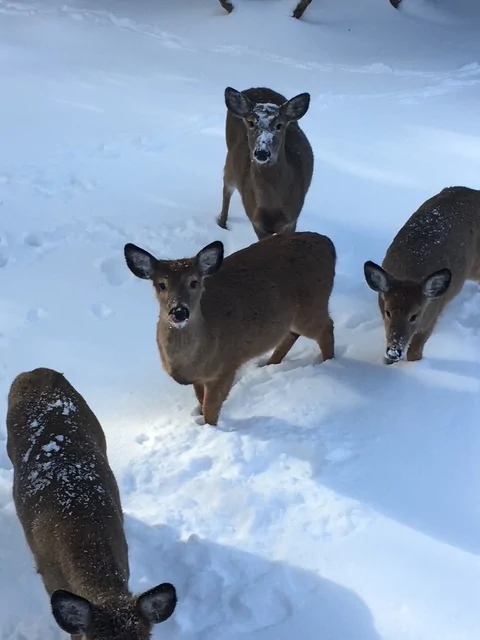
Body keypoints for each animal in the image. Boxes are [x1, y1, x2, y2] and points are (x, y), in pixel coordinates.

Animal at [124, 231, 336, 426]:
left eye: (194, 282)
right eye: (161, 284)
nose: (179, 312)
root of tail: (329, 243)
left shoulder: (226, 367)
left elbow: (210, 409)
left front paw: (210, 430)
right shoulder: (199, 378)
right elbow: (201, 401)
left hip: (312, 306)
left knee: (326, 328)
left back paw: (329, 364)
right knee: (291, 333)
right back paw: (269, 364)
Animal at [217, 86, 314, 241]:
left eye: (279, 125)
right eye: (251, 122)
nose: (262, 152)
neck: (271, 207)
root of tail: (256, 88)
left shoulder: (292, 220)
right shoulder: (256, 222)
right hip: (230, 160)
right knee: (226, 187)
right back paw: (222, 223)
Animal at [363, 186, 480, 364]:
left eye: (414, 316)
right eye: (388, 312)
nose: (394, 351)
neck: (410, 273)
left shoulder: (431, 317)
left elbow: (415, 352)